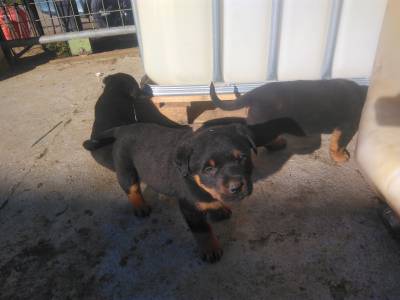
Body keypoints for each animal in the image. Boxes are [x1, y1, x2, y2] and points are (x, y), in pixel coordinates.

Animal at [211, 79, 368, 163]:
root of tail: (253, 94)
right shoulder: (347, 127)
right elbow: (339, 143)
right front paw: (340, 157)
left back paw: (278, 143)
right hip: (264, 129)